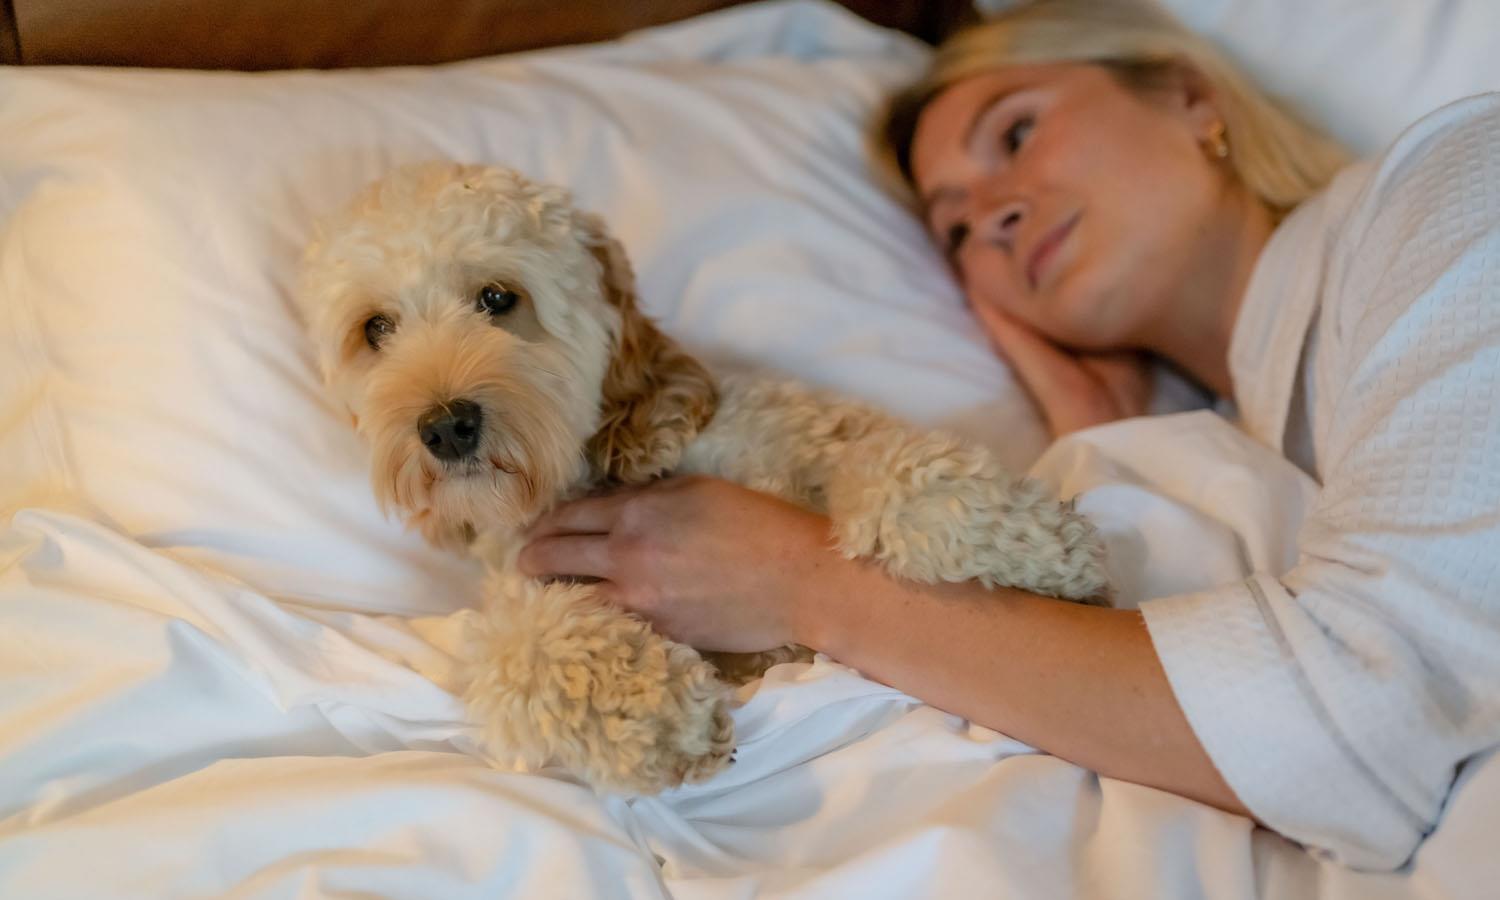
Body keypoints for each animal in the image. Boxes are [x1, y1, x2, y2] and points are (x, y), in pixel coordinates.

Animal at [295, 163, 1116, 792]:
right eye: (376, 329)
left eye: (499, 298)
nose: (444, 426)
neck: (590, 472)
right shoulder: (529, 585)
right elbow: (528, 648)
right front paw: (658, 721)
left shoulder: (800, 428)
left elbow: (890, 466)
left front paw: (1041, 547)